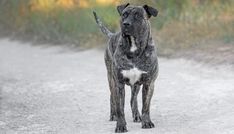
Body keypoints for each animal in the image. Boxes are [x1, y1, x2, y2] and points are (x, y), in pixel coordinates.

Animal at [92, 3, 158, 133]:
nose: (126, 24)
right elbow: (120, 109)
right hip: (111, 80)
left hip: (136, 86)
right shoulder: (119, 84)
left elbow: (146, 106)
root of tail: (112, 35)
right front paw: (121, 125)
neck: (134, 48)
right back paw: (113, 115)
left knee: (133, 100)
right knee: (112, 97)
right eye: (124, 14)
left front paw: (146, 122)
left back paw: (137, 116)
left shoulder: (148, 83)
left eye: (138, 15)